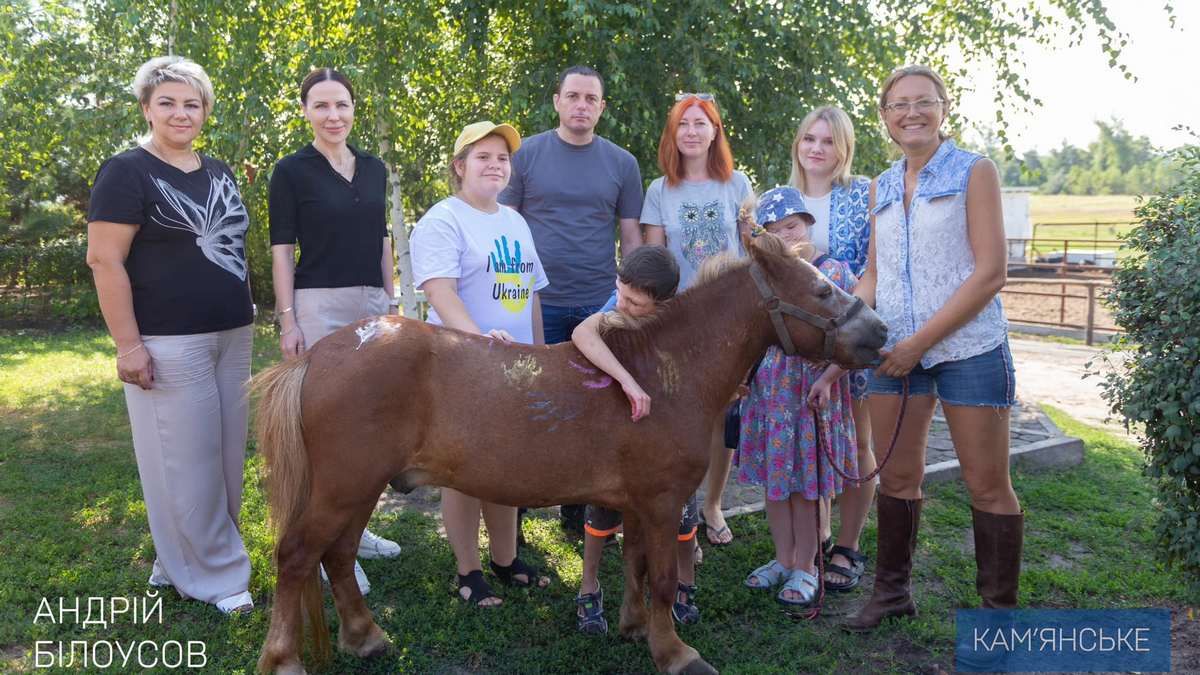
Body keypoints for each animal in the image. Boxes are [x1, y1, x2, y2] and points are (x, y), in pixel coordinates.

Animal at [255, 233, 892, 672]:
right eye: (820, 290)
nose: (881, 333)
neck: (659, 374)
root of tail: (320, 355)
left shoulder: (638, 502)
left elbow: (635, 564)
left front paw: (636, 629)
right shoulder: (662, 501)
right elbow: (664, 577)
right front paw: (675, 652)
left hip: (358, 488)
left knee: (336, 556)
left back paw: (366, 638)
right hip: (344, 487)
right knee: (297, 556)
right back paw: (285, 658)